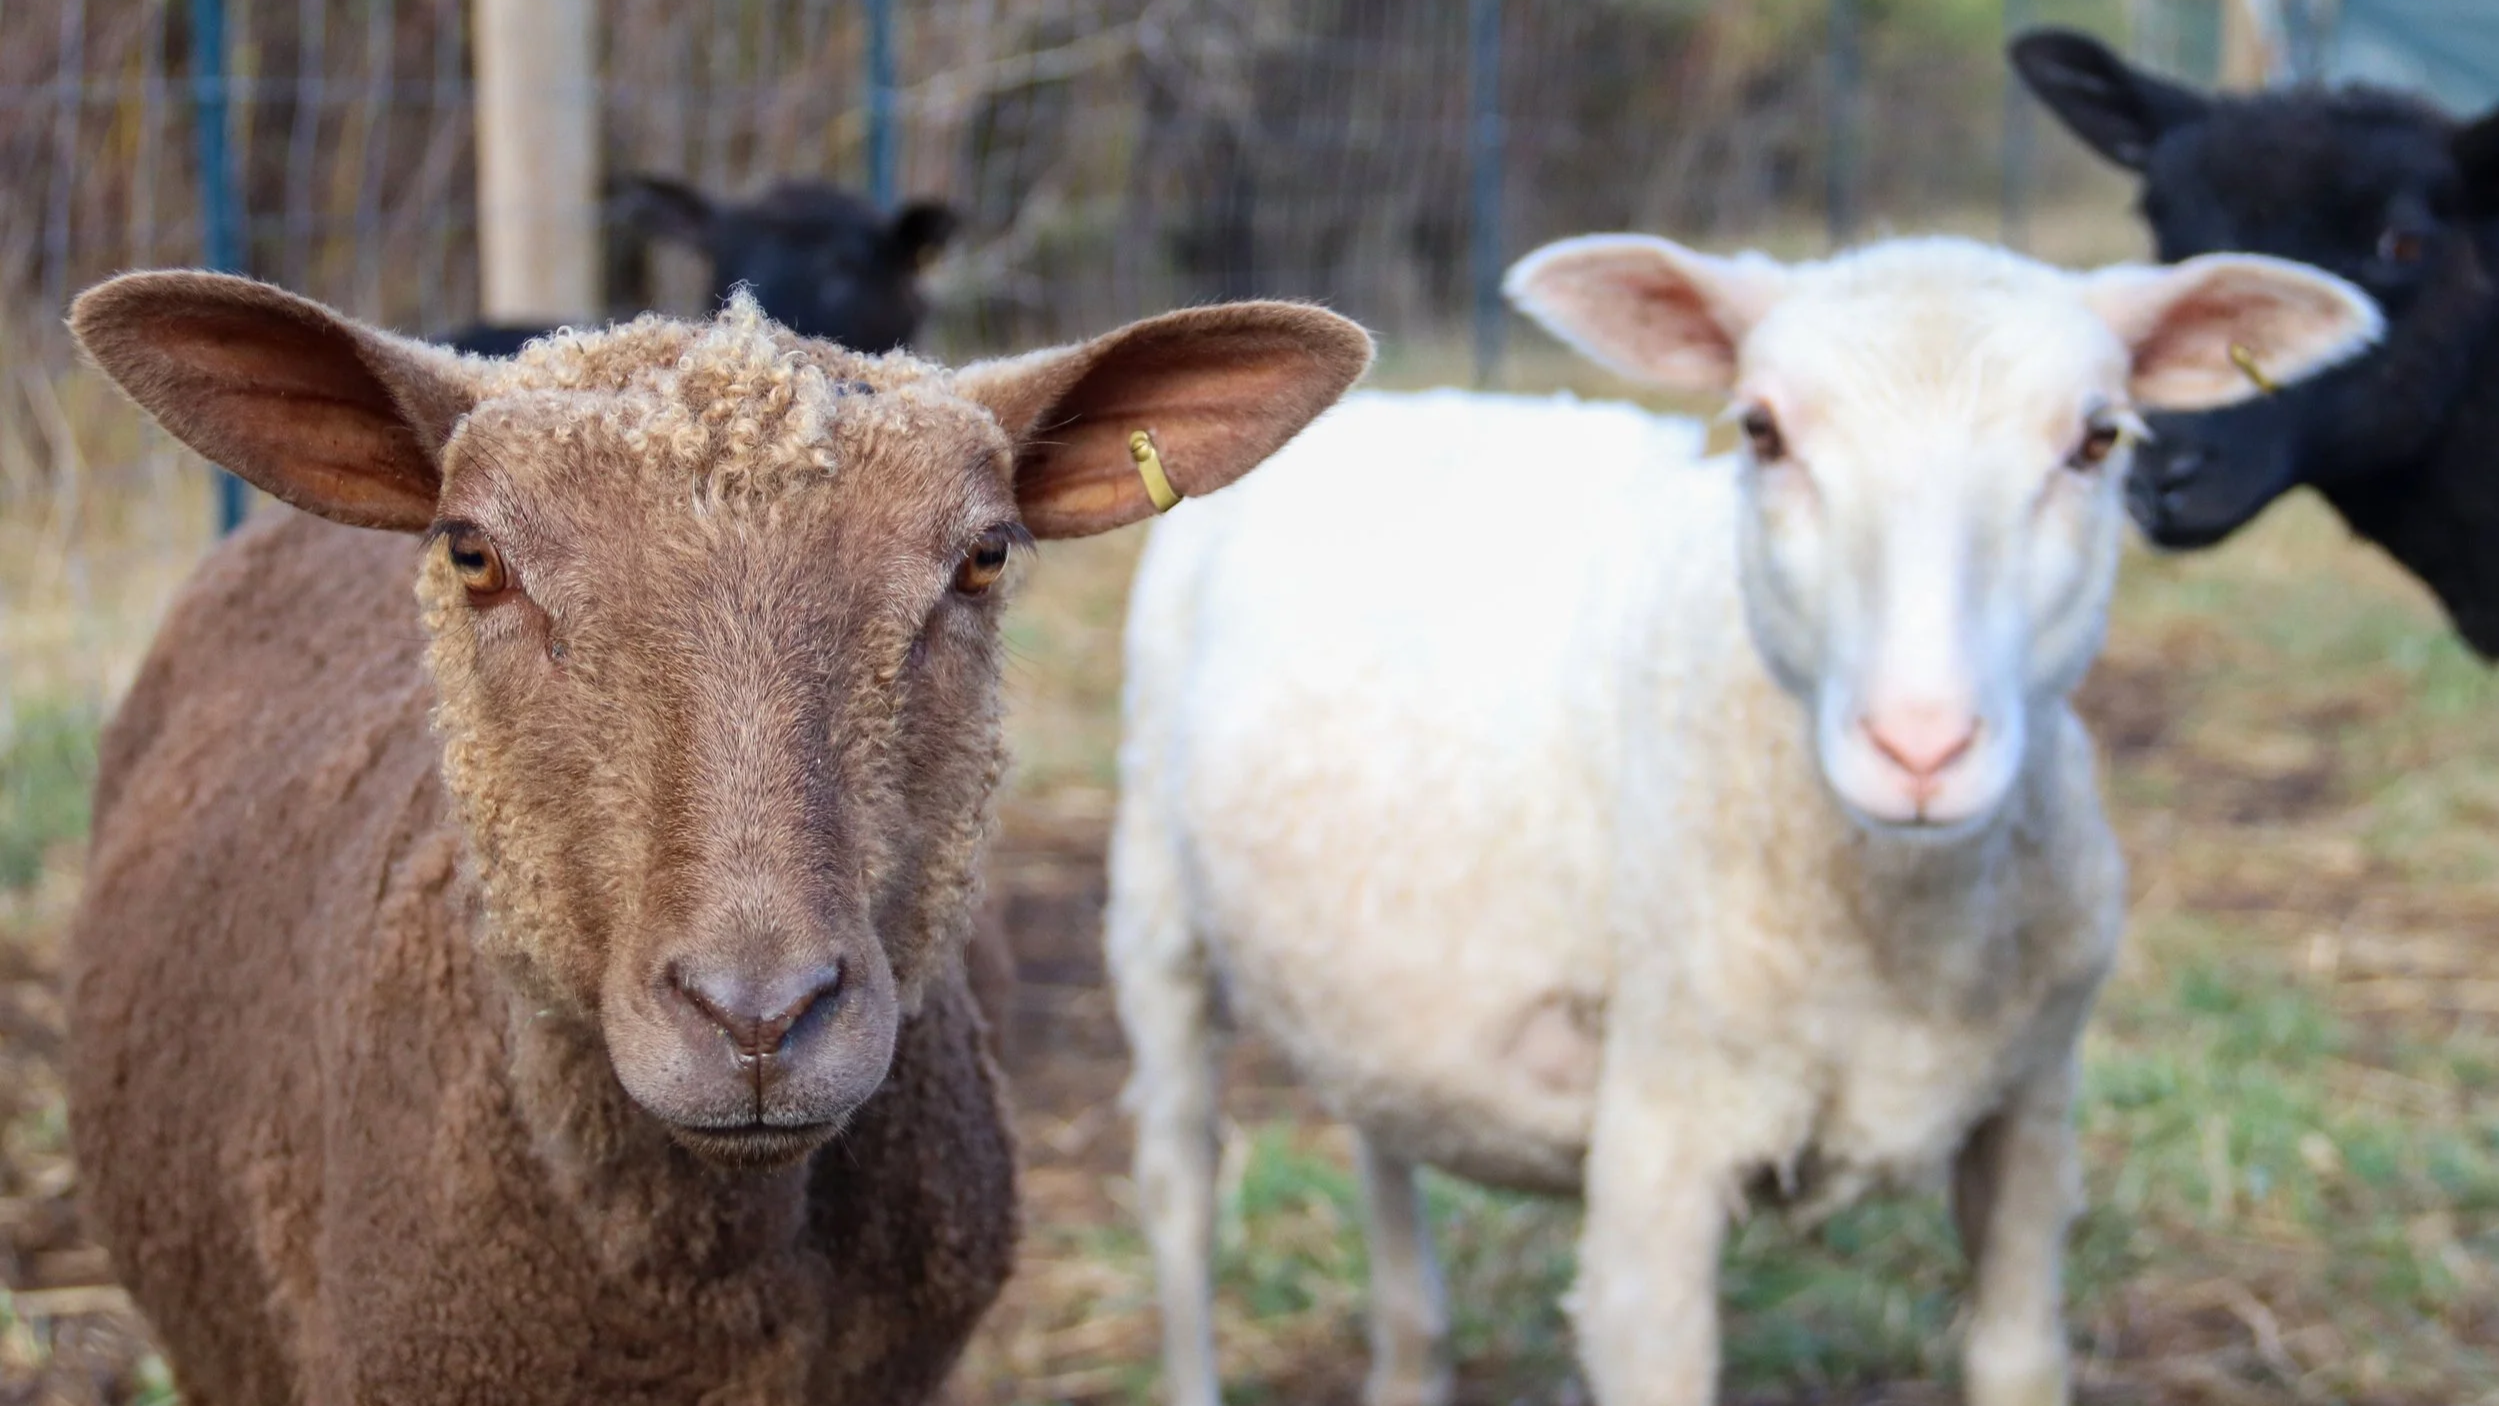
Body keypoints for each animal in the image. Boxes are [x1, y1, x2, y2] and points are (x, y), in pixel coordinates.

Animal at [1105, 234, 2378, 1406]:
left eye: (2099, 439)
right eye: (1760, 431)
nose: (1921, 746)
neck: (1897, 939)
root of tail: (1393, 397)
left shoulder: (2030, 1107)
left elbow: (2017, 1357)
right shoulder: (1655, 1149)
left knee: (1379, 1136)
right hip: (1154, 905)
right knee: (1175, 1187)